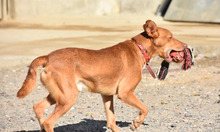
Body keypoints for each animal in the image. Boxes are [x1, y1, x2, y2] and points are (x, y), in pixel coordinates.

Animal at [16, 19, 187, 132]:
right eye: (170, 37)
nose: (186, 45)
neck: (139, 48)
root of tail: (48, 56)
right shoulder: (125, 93)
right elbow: (145, 109)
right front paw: (136, 123)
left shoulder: (107, 95)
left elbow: (111, 122)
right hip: (68, 98)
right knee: (48, 123)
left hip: (59, 94)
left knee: (38, 108)